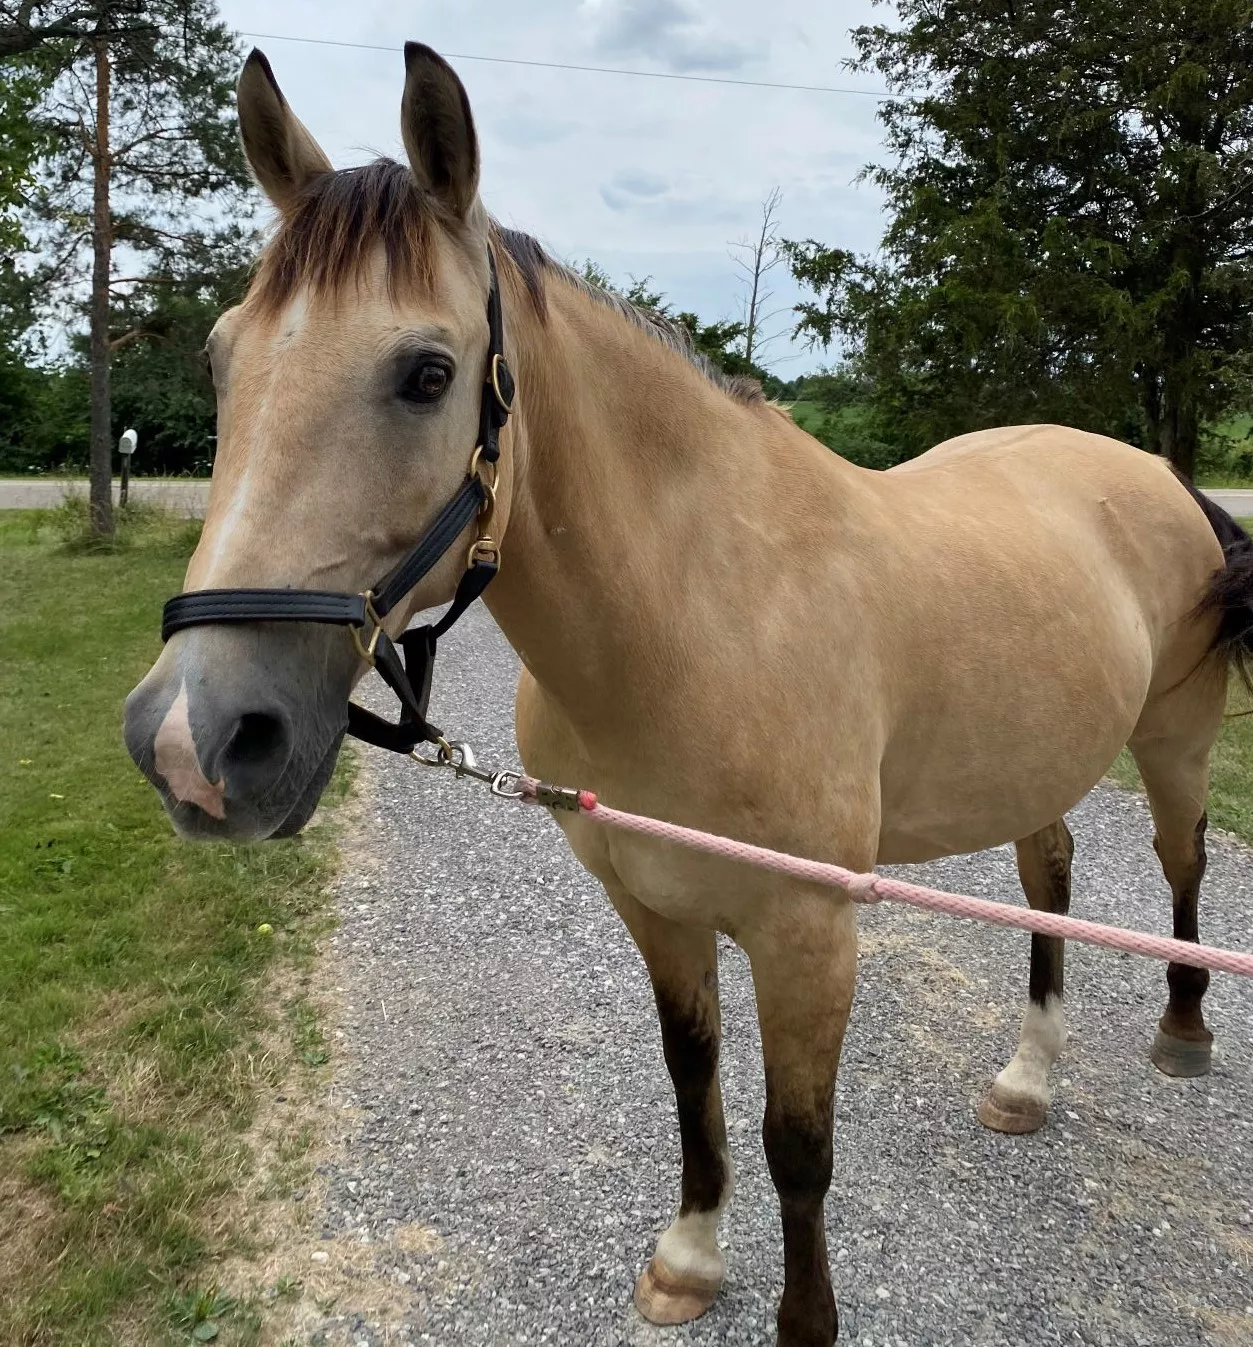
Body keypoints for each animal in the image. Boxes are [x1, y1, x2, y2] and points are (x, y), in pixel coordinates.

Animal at [124, 42, 1250, 1347]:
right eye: (220, 360)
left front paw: (803, 1321)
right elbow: (691, 1078)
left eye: (426, 374)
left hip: (1171, 743)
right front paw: (689, 1259)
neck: (702, 618)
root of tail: (1159, 475)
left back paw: (1181, 1028)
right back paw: (1024, 1078)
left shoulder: (807, 935)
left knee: (1178, 864)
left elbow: (798, 1143)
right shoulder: (654, 909)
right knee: (1049, 874)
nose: (192, 741)